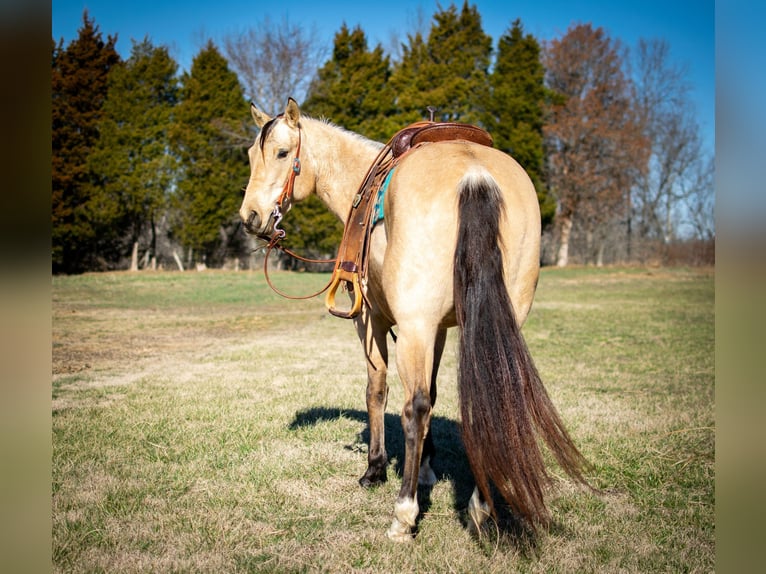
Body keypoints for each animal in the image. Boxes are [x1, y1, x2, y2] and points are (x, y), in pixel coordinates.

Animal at [240, 99, 588, 544]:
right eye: (253, 156)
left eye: (283, 153)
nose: (250, 216)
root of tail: (475, 175)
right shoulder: (436, 329)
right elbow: (435, 392)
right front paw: (425, 468)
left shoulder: (372, 320)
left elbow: (379, 391)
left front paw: (375, 469)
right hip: (494, 321)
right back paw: (480, 507)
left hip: (412, 327)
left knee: (414, 407)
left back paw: (404, 514)